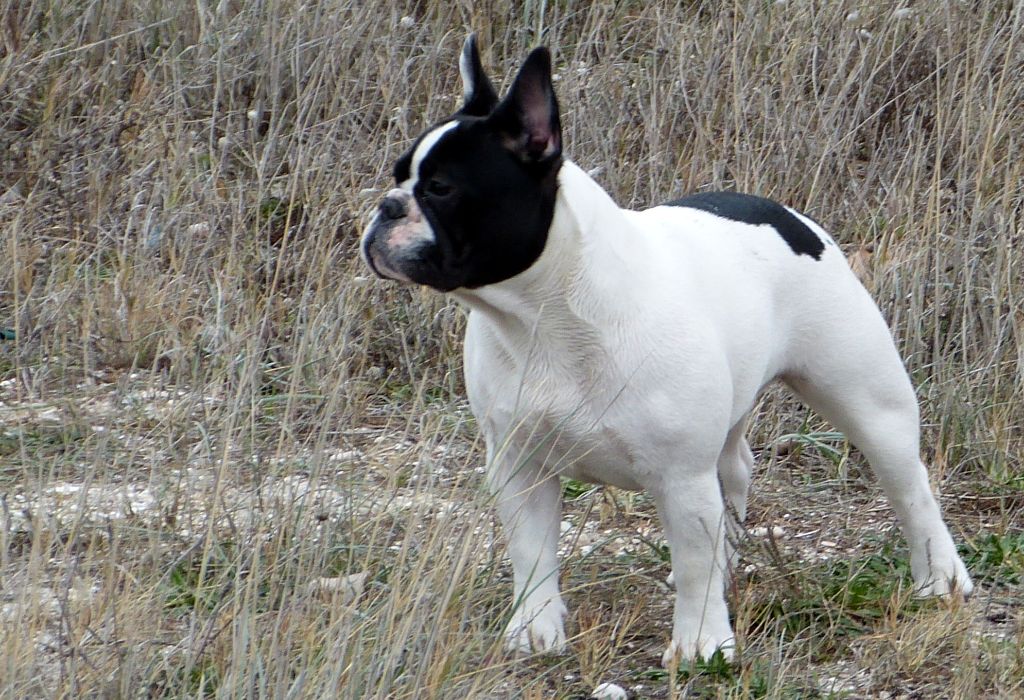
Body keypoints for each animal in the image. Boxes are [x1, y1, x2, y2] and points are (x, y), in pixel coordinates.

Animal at [362, 36, 974, 663]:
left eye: (440, 188)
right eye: (398, 176)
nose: (386, 205)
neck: (544, 314)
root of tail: (793, 218)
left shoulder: (682, 475)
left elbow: (695, 557)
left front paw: (701, 642)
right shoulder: (519, 466)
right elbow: (531, 553)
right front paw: (535, 627)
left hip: (867, 400)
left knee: (909, 485)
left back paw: (940, 576)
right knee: (736, 467)